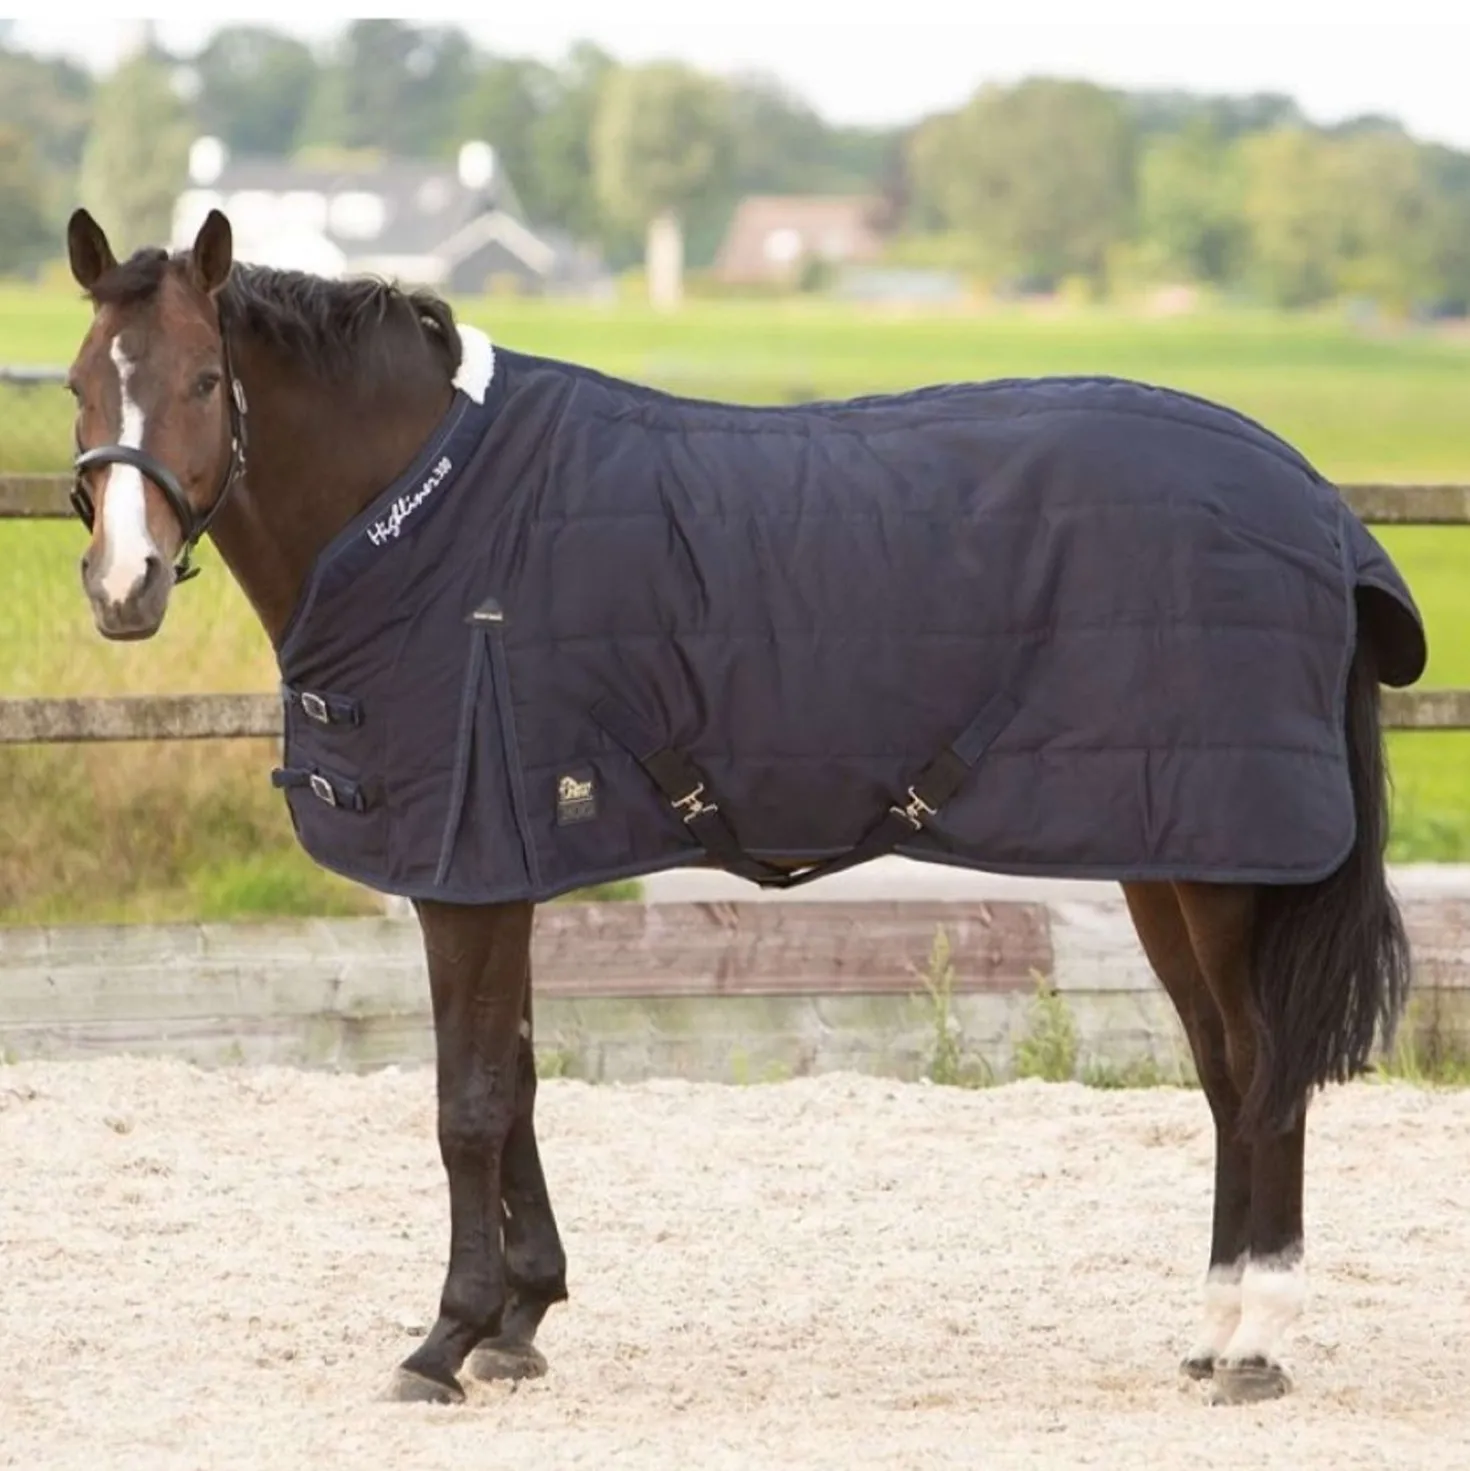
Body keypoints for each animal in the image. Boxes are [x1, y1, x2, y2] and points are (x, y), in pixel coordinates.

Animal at [60, 205, 1426, 1408]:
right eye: (78, 385)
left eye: (201, 382)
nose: (124, 586)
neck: (437, 514)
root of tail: (1316, 506)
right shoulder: (504, 862)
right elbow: (522, 1081)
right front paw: (521, 1317)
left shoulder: (470, 870)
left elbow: (470, 1104)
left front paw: (446, 1338)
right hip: (1169, 857)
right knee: (1227, 1073)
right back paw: (1214, 1332)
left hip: (1226, 867)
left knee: (1263, 1075)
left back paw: (1256, 1344)